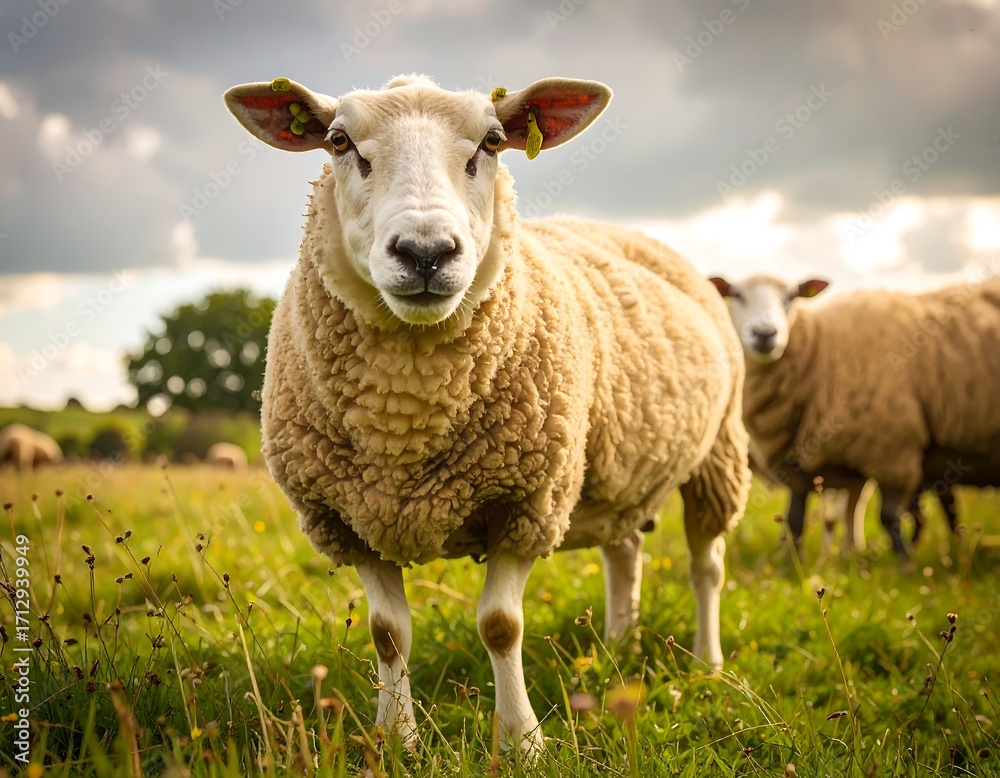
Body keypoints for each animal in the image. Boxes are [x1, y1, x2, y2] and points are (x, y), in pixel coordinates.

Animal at [225, 73, 750, 753]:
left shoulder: (528, 501)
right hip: (615, 474)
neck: (406, 416)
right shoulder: (348, 516)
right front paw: (397, 741)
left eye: (494, 142)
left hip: (718, 454)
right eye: (339, 142)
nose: (425, 253)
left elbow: (501, 625)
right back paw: (618, 645)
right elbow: (387, 634)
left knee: (706, 565)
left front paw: (521, 742)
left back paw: (707, 664)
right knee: (626, 551)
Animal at [711, 273, 1000, 559]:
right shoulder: (798, 465)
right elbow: (795, 521)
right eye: (736, 294)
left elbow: (887, 517)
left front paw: (903, 564)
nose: (765, 334)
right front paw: (796, 563)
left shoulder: (891, 450)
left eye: (791, 296)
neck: (820, 349)